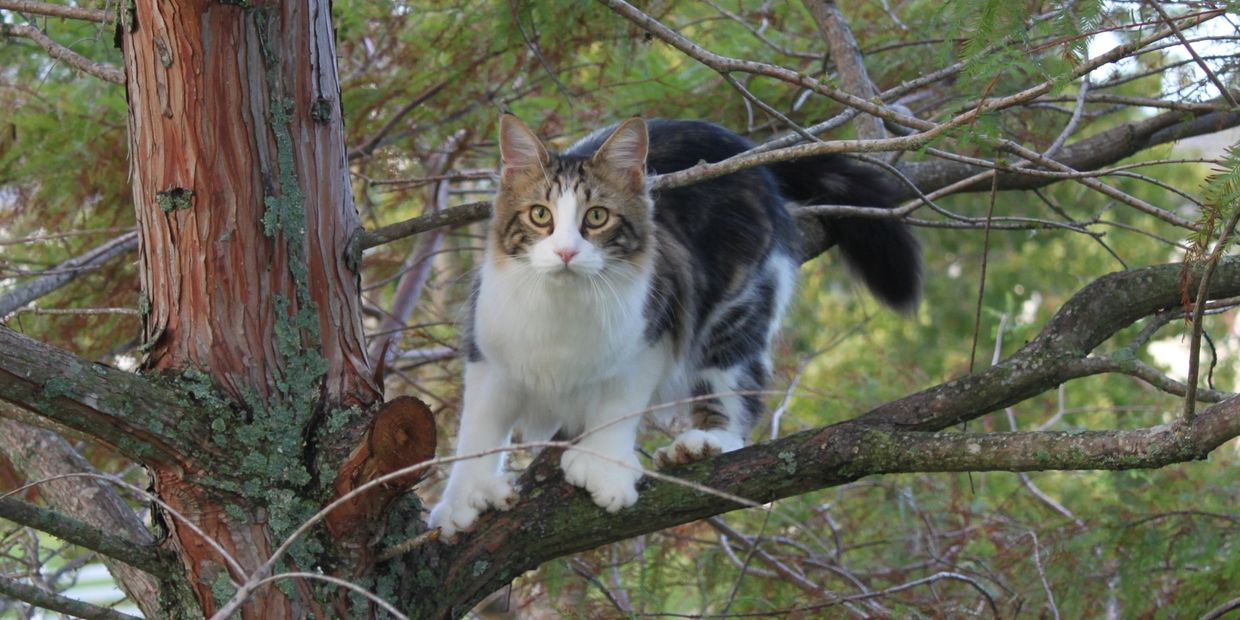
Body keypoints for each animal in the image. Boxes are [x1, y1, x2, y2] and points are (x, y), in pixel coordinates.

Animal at [426, 116, 922, 538]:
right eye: (540, 215)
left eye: (597, 217)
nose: (566, 252)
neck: (561, 306)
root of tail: (735, 145)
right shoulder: (487, 352)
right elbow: (478, 428)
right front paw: (463, 498)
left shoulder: (653, 331)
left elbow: (619, 405)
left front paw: (605, 466)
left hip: (736, 313)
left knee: (735, 396)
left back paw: (703, 442)